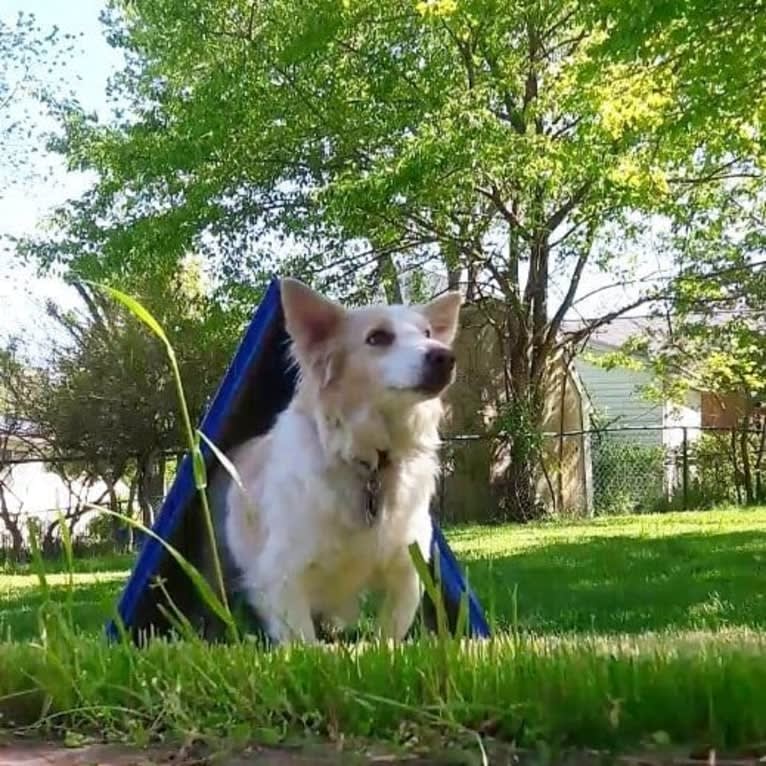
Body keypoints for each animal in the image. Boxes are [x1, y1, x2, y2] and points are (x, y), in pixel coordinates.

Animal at [206, 280, 462, 644]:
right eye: (378, 338)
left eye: (428, 333)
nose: (444, 356)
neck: (369, 462)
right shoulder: (284, 577)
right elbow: (303, 641)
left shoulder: (406, 570)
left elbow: (390, 630)